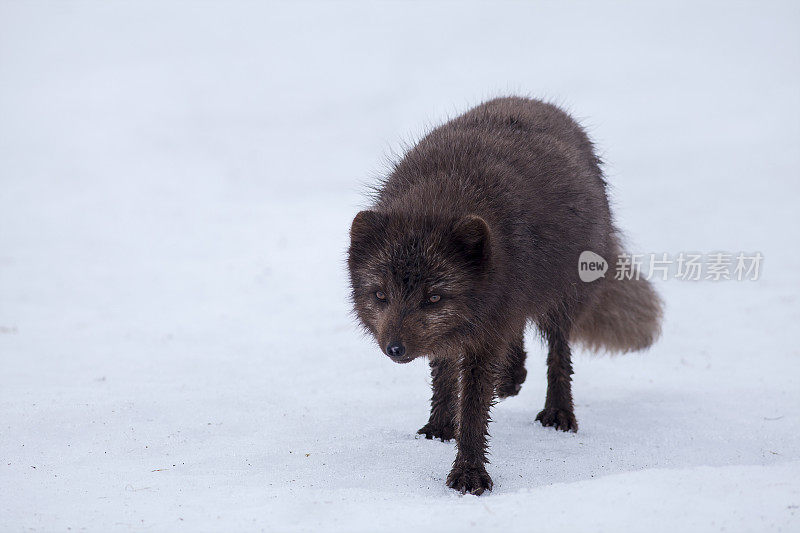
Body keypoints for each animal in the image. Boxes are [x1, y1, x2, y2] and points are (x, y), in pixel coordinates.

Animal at [346, 96, 660, 494]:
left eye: (433, 298)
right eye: (381, 295)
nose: (395, 349)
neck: (439, 200)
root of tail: (535, 102)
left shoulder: (484, 332)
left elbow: (474, 407)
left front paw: (468, 473)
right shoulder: (465, 328)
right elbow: (444, 372)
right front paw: (439, 427)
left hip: (563, 296)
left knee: (559, 349)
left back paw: (559, 411)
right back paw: (511, 377)